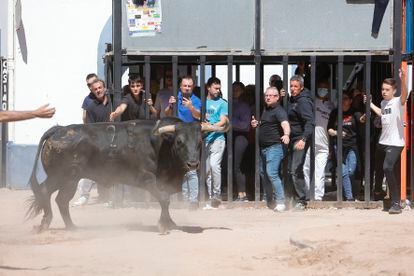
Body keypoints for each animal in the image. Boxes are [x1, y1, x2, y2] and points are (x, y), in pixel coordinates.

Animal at [27, 117, 228, 233]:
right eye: (179, 141)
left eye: (200, 141)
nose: (193, 164)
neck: (161, 143)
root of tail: (58, 129)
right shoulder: (148, 180)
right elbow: (164, 199)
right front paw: (163, 226)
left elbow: (166, 201)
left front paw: (170, 223)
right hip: (62, 177)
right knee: (46, 192)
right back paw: (45, 224)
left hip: (71, 180)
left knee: (61, 200)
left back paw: (71, 227)